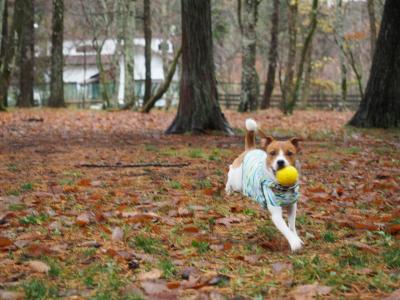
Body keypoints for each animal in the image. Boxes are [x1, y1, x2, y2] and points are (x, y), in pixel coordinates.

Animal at [225, 118, 304, 252]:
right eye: (272, 153)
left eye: (289, 153)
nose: (280, 162)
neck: (283, 187)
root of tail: (250, 149)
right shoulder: (276, 214)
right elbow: (285, 228)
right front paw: (294, 243)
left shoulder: (292, 206)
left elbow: (291, 226)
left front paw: (296, 237)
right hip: (237, 181)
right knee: (230, 172)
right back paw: (228, 188)